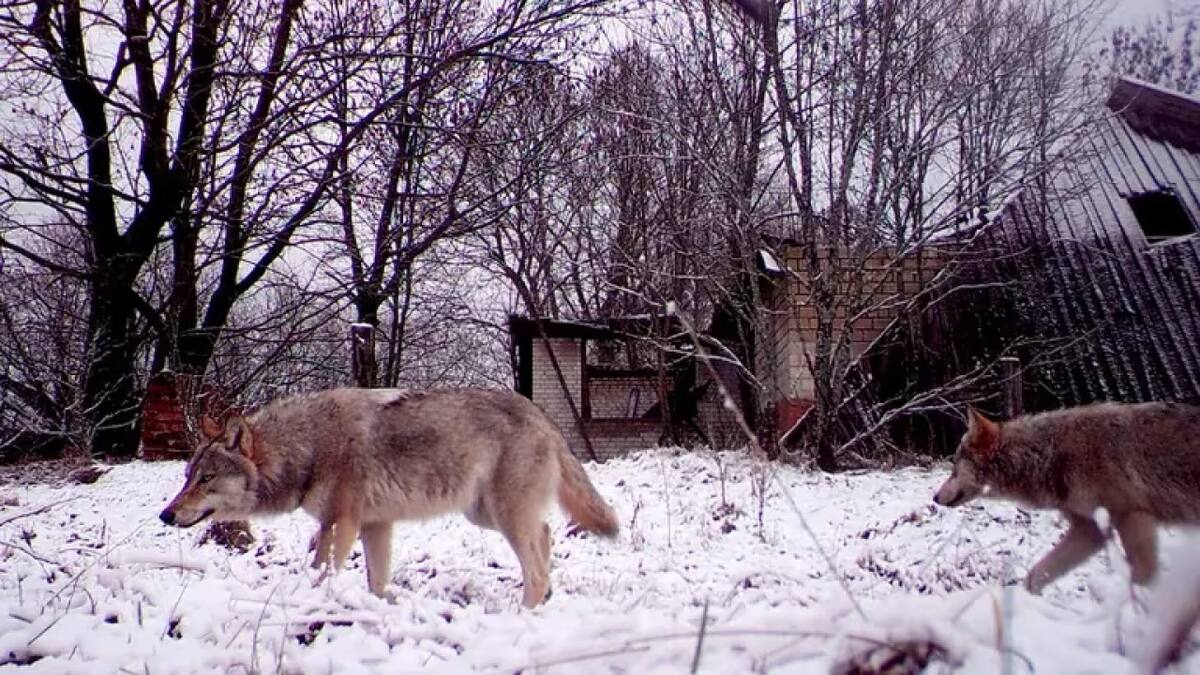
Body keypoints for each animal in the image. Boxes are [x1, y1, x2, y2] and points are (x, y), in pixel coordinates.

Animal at [160, 387, 619, 607]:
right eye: (187, 477)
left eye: (207, 478)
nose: (166, 515)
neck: (309, 445)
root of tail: (542, 416)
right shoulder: (375, 525)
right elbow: (376, 581)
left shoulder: (340, 524)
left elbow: (323, 572)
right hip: (485, 515)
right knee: (546, 535)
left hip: (503, 516)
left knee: (536, 564)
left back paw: (524, 614)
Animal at [933, 402, 1200, 593]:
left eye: (954, 467)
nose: (934, 497)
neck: (1050, 455)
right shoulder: (1089, 531)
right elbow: (1035, 575)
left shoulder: (1132, 516)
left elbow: (1142, 577)